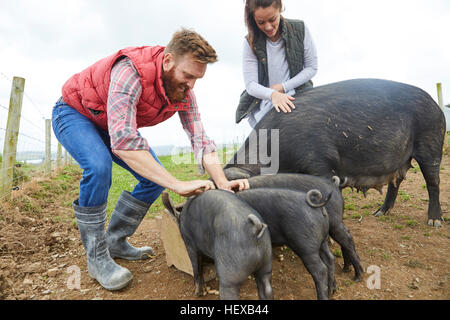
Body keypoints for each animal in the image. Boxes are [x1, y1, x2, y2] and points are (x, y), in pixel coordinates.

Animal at [229, 78, 446, 226]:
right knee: (396, 182)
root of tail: (436, 104)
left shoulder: (320, 161)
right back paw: (379, 213)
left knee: (433, 182)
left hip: (431, 142)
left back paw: (434, 221)